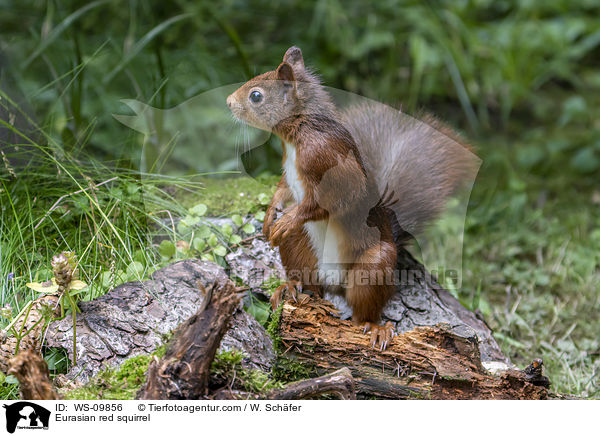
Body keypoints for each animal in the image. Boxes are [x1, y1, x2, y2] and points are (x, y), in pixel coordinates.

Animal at [226, 46, 478, 350]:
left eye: (256, 96)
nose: (228, 102)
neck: (299, 133)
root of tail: (334, 283)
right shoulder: (289, 171)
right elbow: (283, 188)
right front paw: (270, 215)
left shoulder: (331, 162)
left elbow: (332, 200)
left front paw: (287, 218)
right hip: (302, 249)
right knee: (312, 286)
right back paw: (290, 287)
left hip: (372, 266)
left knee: (362, 310)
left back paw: (374, 328)